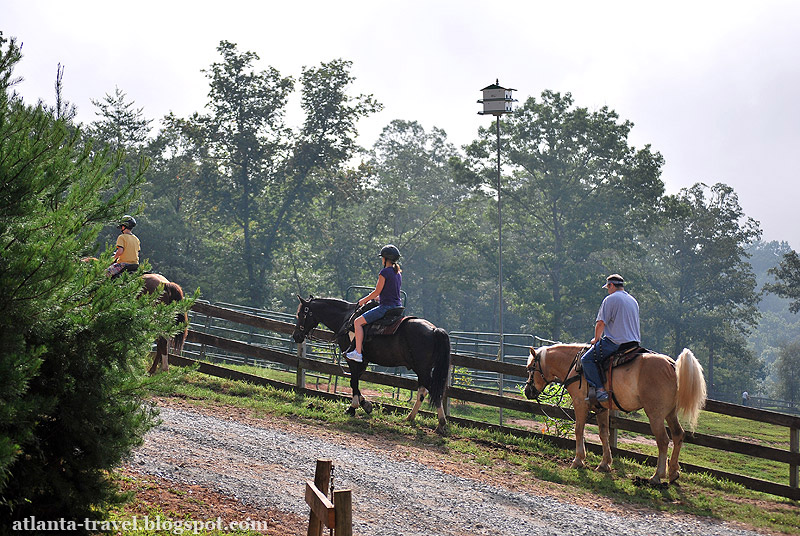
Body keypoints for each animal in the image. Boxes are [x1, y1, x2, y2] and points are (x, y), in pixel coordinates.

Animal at [292, 296, 454, 434]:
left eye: (300, 314)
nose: (296, 336)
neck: (346, 320)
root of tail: (434, 330)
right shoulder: (363, 362)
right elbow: (355, 382)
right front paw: (366, 404)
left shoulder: (354, 360)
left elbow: (353, 381)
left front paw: (353, 408)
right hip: (422, 370)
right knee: (423, 391)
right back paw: (410, 418)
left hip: (422, 369)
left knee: (433, 391)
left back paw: (441, 423)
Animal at [524, 344, 708, 486]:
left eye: (530, 368)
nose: (527, 391)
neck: (575, 366)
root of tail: (672, 365)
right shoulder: (602, 408)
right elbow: (604, 434)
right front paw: (605, 463)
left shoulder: (580, 403)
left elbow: (578, 430)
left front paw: (578, 460)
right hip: (670, 413)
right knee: (678, 435)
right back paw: (673, 473)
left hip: (655, 414)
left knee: (663, 441)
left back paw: (657, 476)